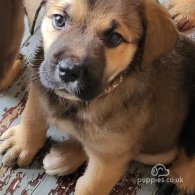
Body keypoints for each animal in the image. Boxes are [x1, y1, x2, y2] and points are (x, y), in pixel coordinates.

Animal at [0, 0, 195, 195]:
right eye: (59, 19)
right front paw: (21, 144)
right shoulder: (40, 89)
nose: (68, 71)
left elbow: (89, 186)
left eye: (114, 38)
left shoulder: (108, 162)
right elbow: (32, 117)